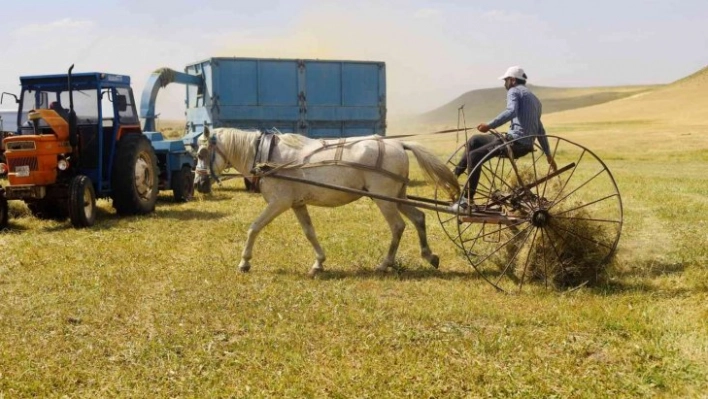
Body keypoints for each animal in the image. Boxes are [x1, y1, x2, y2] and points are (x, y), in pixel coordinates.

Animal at [194, 128, 460, 276]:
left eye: (201, 153)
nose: (197, 184)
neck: (266, 155)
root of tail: (397, 143)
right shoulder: (297, 203)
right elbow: (309, 232)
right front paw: (318, 263)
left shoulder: (279, 203)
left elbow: (254, 228)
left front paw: (244, 262)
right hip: (398, 195)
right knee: (418, 217)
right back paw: (429, 256)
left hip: (383, 198)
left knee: (397, 226)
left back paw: (385, 264)